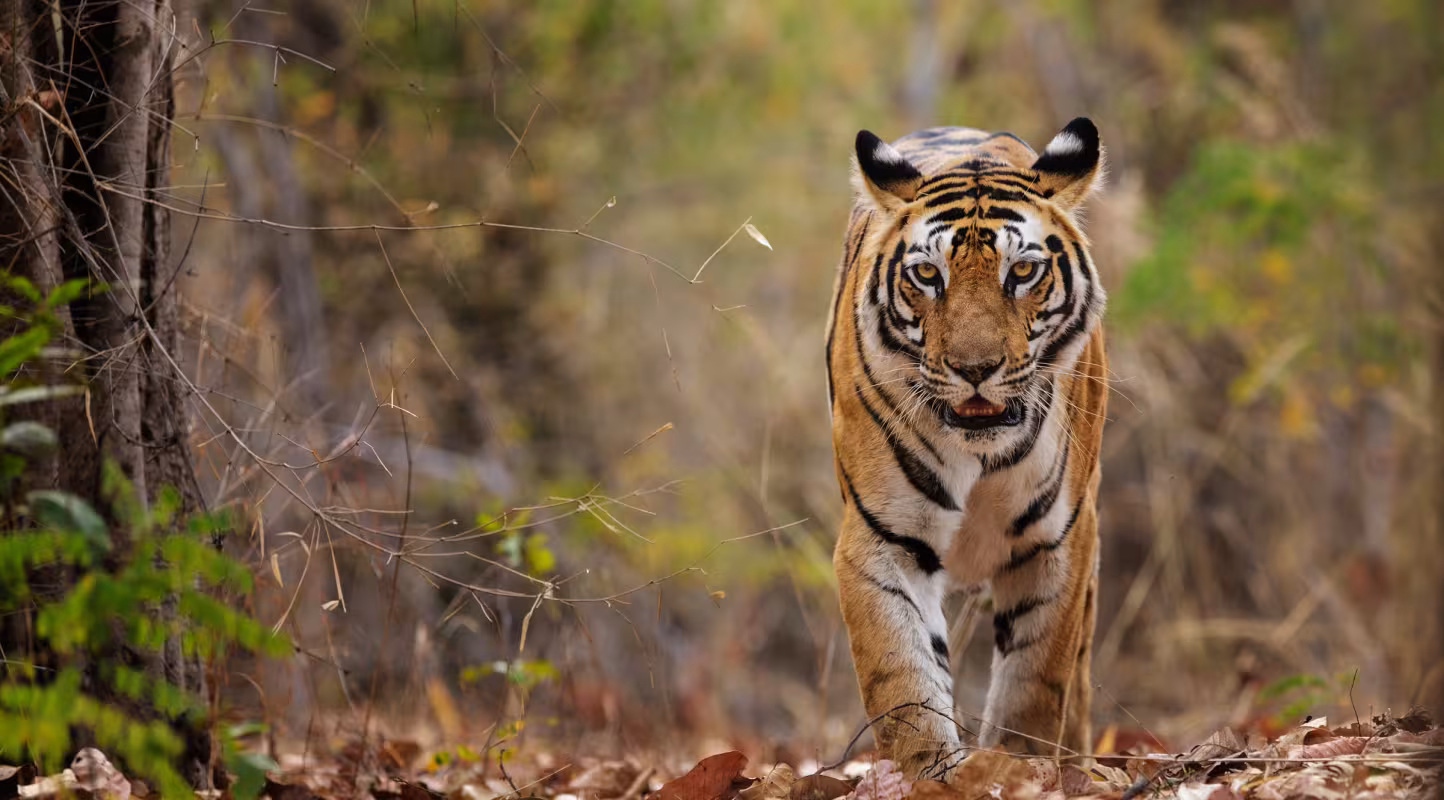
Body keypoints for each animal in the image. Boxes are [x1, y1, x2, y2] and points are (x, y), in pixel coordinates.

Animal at [826, 118, 1109, 780]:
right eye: (929, 276)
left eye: (1023, 272)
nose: (975, 369)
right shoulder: (883, 539)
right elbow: (904, 683)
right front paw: (932, 775)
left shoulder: (1057, 542)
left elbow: (1036, 683)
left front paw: (1021, 769)